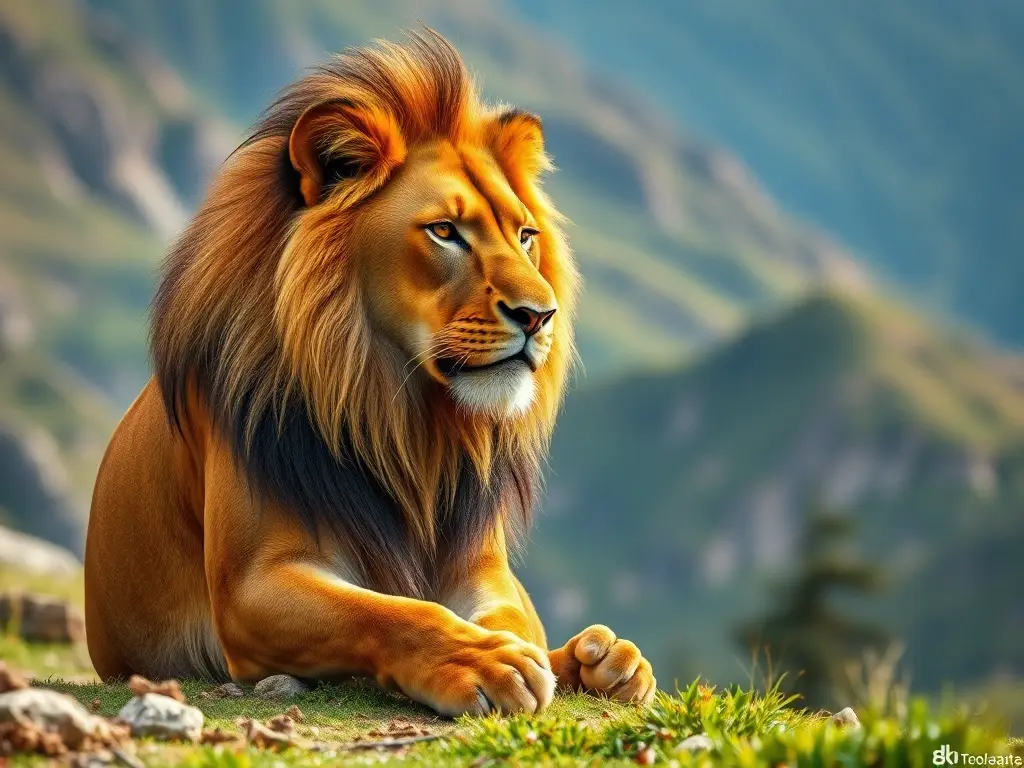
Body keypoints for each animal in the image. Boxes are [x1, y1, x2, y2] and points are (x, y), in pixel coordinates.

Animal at [84, 30, 655, 715]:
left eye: (524, 235)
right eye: (445, 232)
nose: (539, 315)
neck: (399, 415)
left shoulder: (482, 571)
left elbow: (510, 620)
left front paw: (556, 658)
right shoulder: (252, 584)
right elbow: (392, 612)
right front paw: (483, 662)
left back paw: (609, 663)